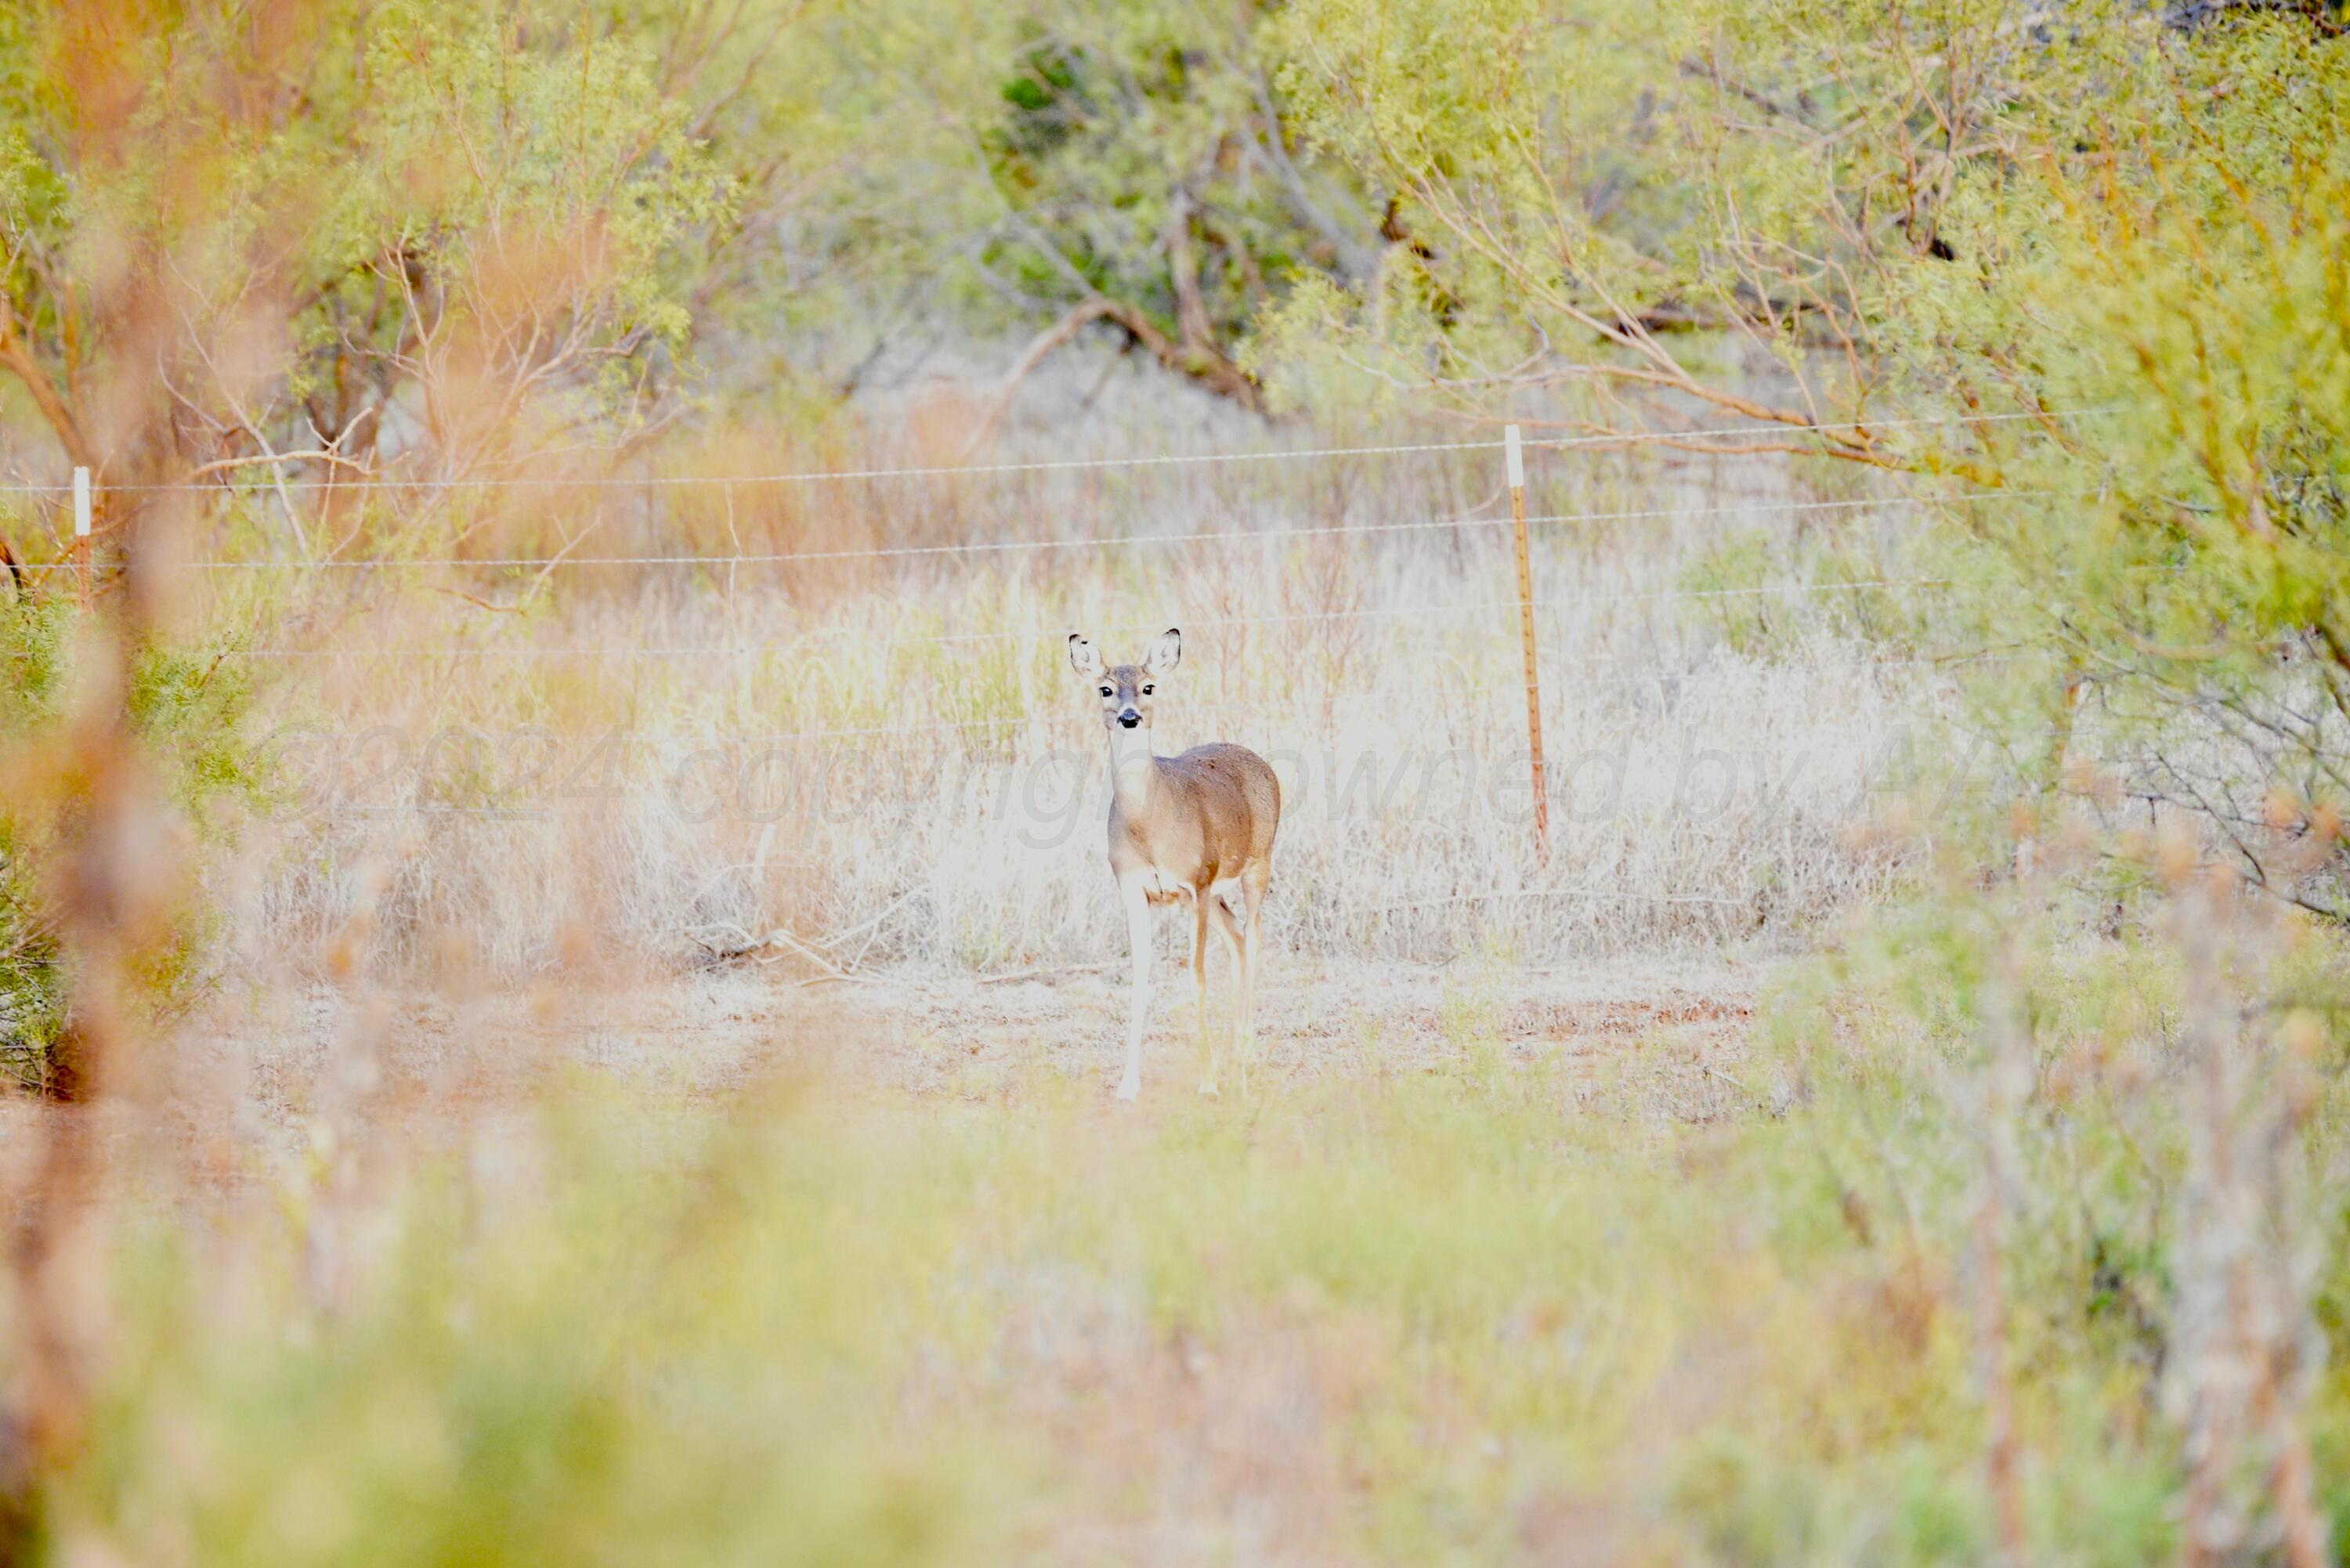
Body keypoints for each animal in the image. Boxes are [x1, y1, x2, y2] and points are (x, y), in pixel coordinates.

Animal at [1072, 630, 1278, 1104]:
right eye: (1105, 688)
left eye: (1149, 686)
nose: (1129, 717)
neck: (1150, 828)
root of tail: (1262, 763)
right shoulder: (1136, 890)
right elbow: (1140, 980)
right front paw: (1128, 1084)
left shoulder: (1195, 883)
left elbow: (1196, 976)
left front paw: (1207, 1081)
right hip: (1215, 894)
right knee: (1237, 940)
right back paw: (1234, 1052)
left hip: (1257, 865)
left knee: (1255, 937)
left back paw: (1244, 1057)